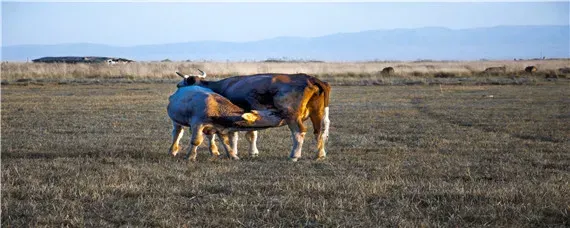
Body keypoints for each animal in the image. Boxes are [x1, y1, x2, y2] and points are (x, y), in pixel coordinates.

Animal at [175, 70, 330, 161]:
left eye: (183, 82)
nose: (177, 87)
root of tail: (310, 78)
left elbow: (232, 136)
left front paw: (231, 152)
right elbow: (251, 135)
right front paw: (253, 152)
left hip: (292, 116)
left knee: (299, 132)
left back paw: (294, 156)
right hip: (319, 113)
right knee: (320, 132)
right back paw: (320, 154)